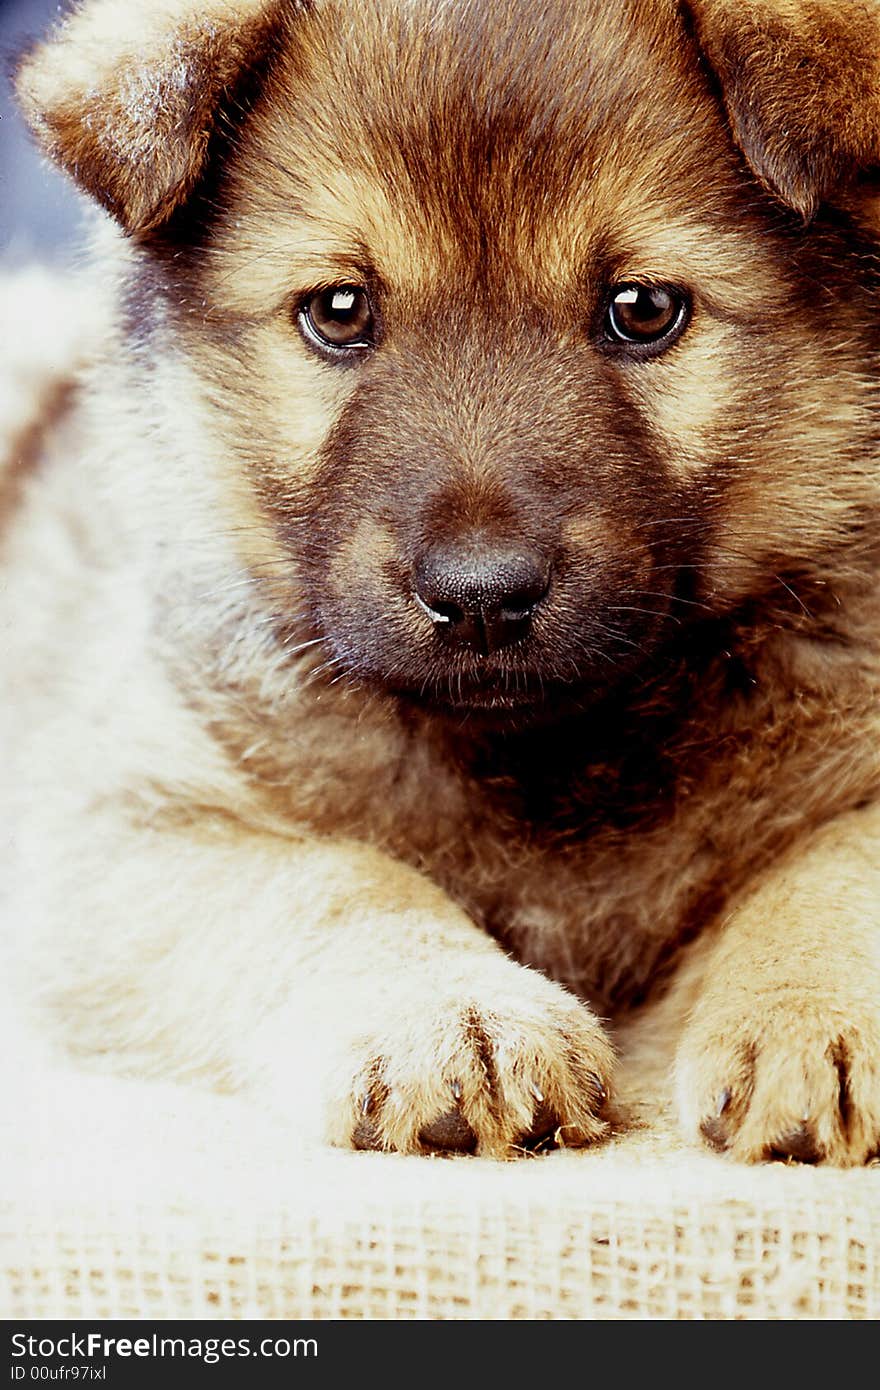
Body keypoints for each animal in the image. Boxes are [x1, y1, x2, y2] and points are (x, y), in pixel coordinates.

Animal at [5, 0, 878, 1162]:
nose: (480, 596)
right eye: (338, 310)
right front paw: (453, 1017)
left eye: (644, 309)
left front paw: (803, 1012)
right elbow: (332, 882)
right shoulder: (124, 819)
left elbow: (836, 865)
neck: (551, 759)